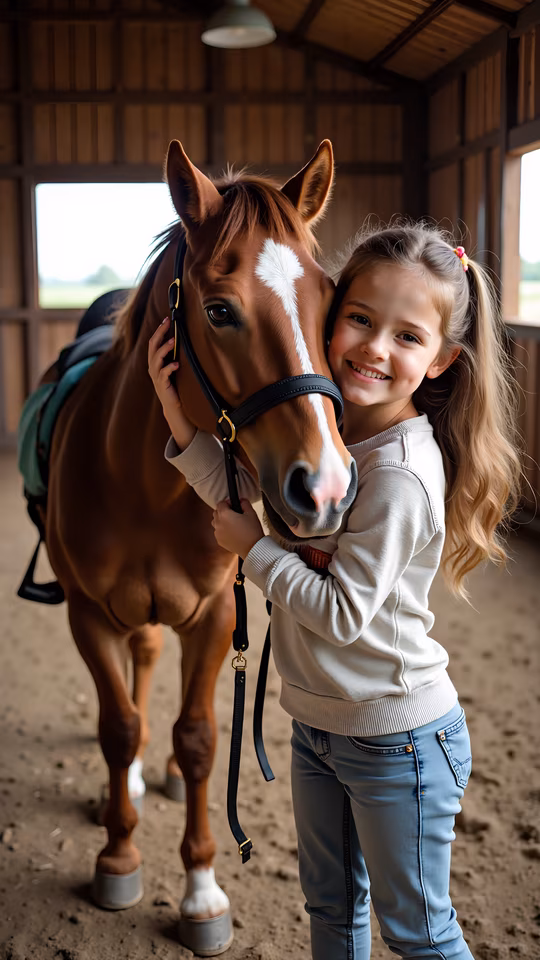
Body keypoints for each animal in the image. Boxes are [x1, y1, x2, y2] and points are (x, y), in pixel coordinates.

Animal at [38, 138, 356, 955]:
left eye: (329, 302)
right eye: (219, 311)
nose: (327, 486)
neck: (143, 483)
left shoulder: (215, 616)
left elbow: (202, 739)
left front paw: (203, 890)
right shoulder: (87, 614)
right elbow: (118, 727)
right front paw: (118, 857)